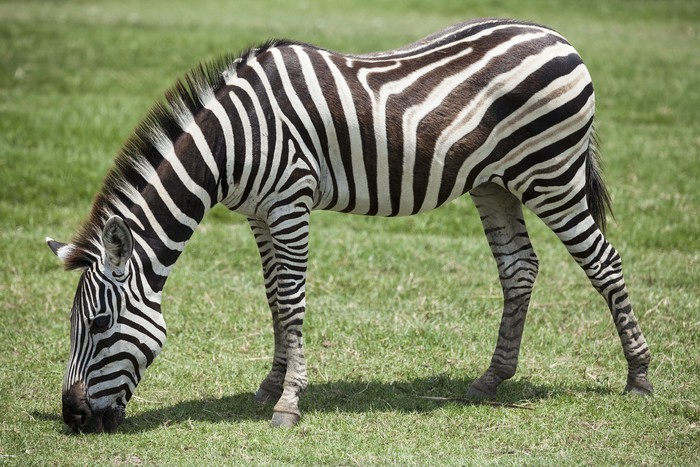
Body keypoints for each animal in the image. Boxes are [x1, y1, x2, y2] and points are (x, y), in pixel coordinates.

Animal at [46, 18, 653, 432]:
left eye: (98, 324)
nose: (72, 417)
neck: (231, 142)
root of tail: (557, 36)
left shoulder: (290, 201)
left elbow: (292, 300)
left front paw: (289, 403)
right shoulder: (259, 214)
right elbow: (272, 297)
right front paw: (271, 384)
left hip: (551, 174)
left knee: (604, 262)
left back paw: (639, 377)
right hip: (495, 183)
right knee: (519, 268)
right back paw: (491, 379)